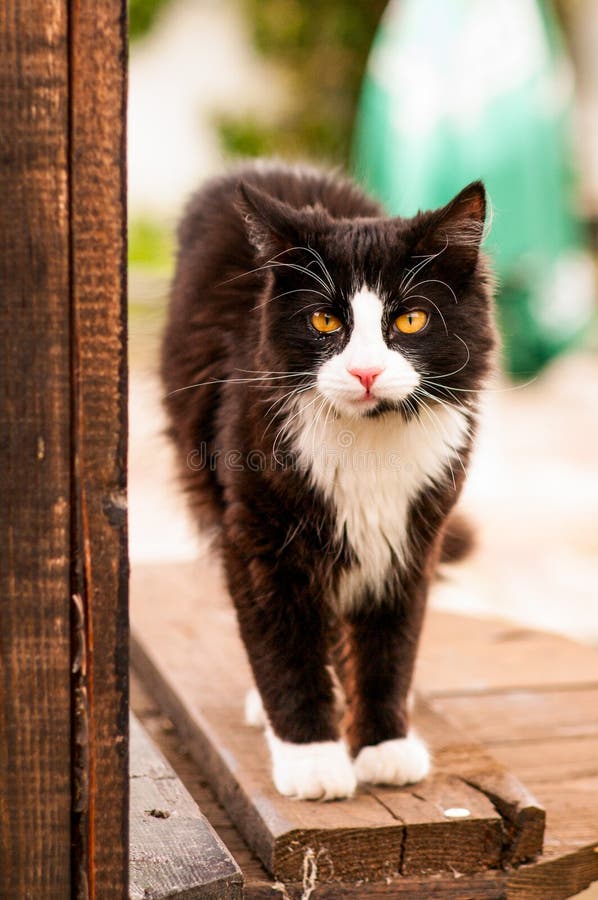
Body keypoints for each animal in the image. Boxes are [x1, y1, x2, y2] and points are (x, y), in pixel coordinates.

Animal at [162, 158, 500, 800]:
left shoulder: (414, 534)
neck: (367, 441)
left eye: (410, 319)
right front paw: (311, 757)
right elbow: (284, 645)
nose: (365, 372)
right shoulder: (258, 534)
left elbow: (390, 647)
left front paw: (383, 744)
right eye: (324, 320)